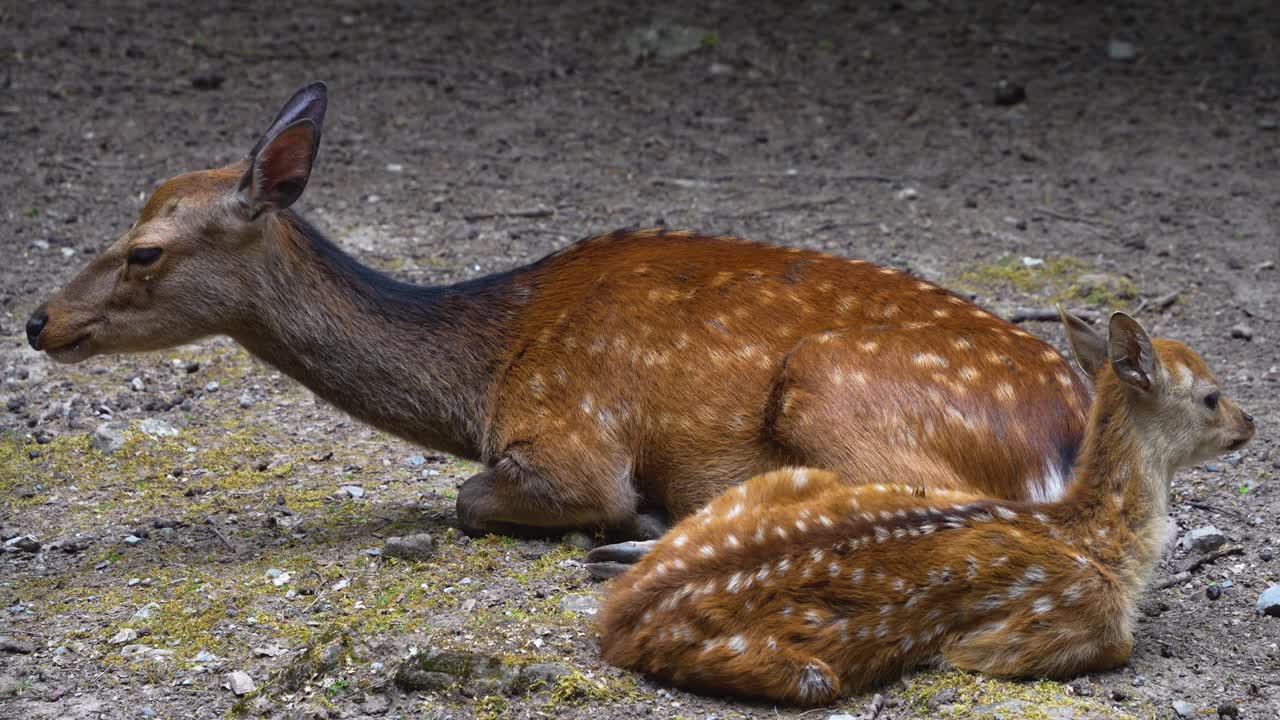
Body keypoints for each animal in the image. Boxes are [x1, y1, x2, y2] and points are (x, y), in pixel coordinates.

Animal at [27, 82, 1090, 538]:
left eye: (145, 251)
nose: (37, 321)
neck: (483, 373)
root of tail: (1071, 428)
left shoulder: (570, 432)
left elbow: (475, 501)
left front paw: (633, 511)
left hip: (830, 383)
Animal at [601, 308, 1259, 702]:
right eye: (1211, 396)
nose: (1251, 422)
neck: (1103, 547)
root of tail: (616, 622)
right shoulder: (1070, 623)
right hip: (805, 673)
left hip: (786, 478)